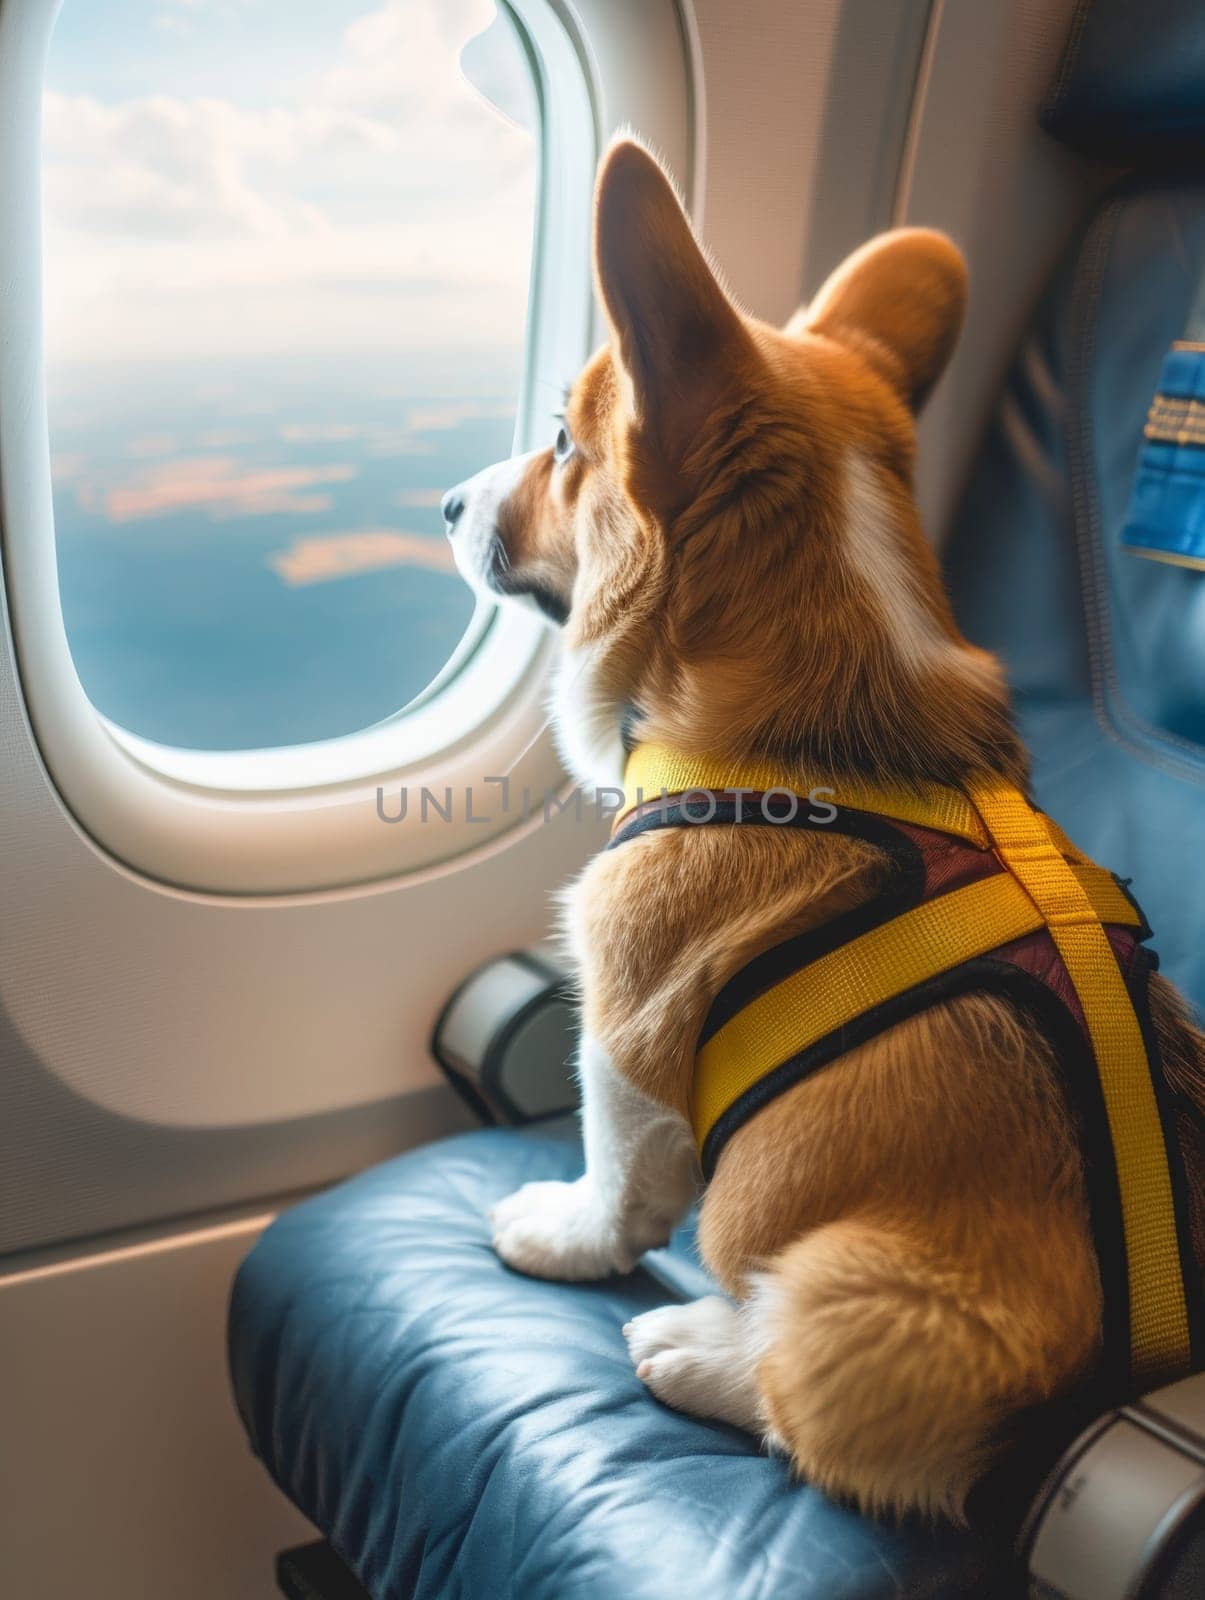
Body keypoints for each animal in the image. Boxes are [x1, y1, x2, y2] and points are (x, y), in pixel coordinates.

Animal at [441, 134, 1203, 1510]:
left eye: (565, 442)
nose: (441, 506)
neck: (806, 727)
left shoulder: (624, 1030)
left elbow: (615, 1172)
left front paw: (563, 1233)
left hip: (864, 1299)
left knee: (826, 1410)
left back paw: (697, 1345)